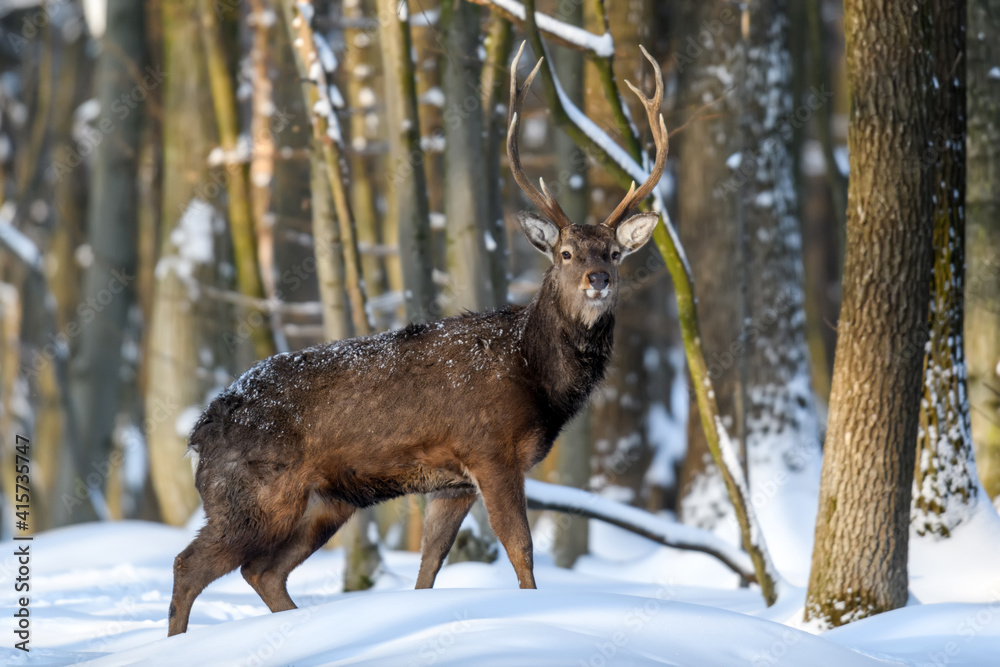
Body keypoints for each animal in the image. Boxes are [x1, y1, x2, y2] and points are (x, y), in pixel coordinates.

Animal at [167, 43, 668, 637]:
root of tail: (198, 434)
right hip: (251, 495)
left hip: (324, 503)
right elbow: (520, 548)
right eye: (566, 253)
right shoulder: (489, 449)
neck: (535, 375)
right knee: (190, 564)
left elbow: (431, 562)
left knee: (262, 571)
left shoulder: (452, 481)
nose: (599, 279)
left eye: (614, 252)